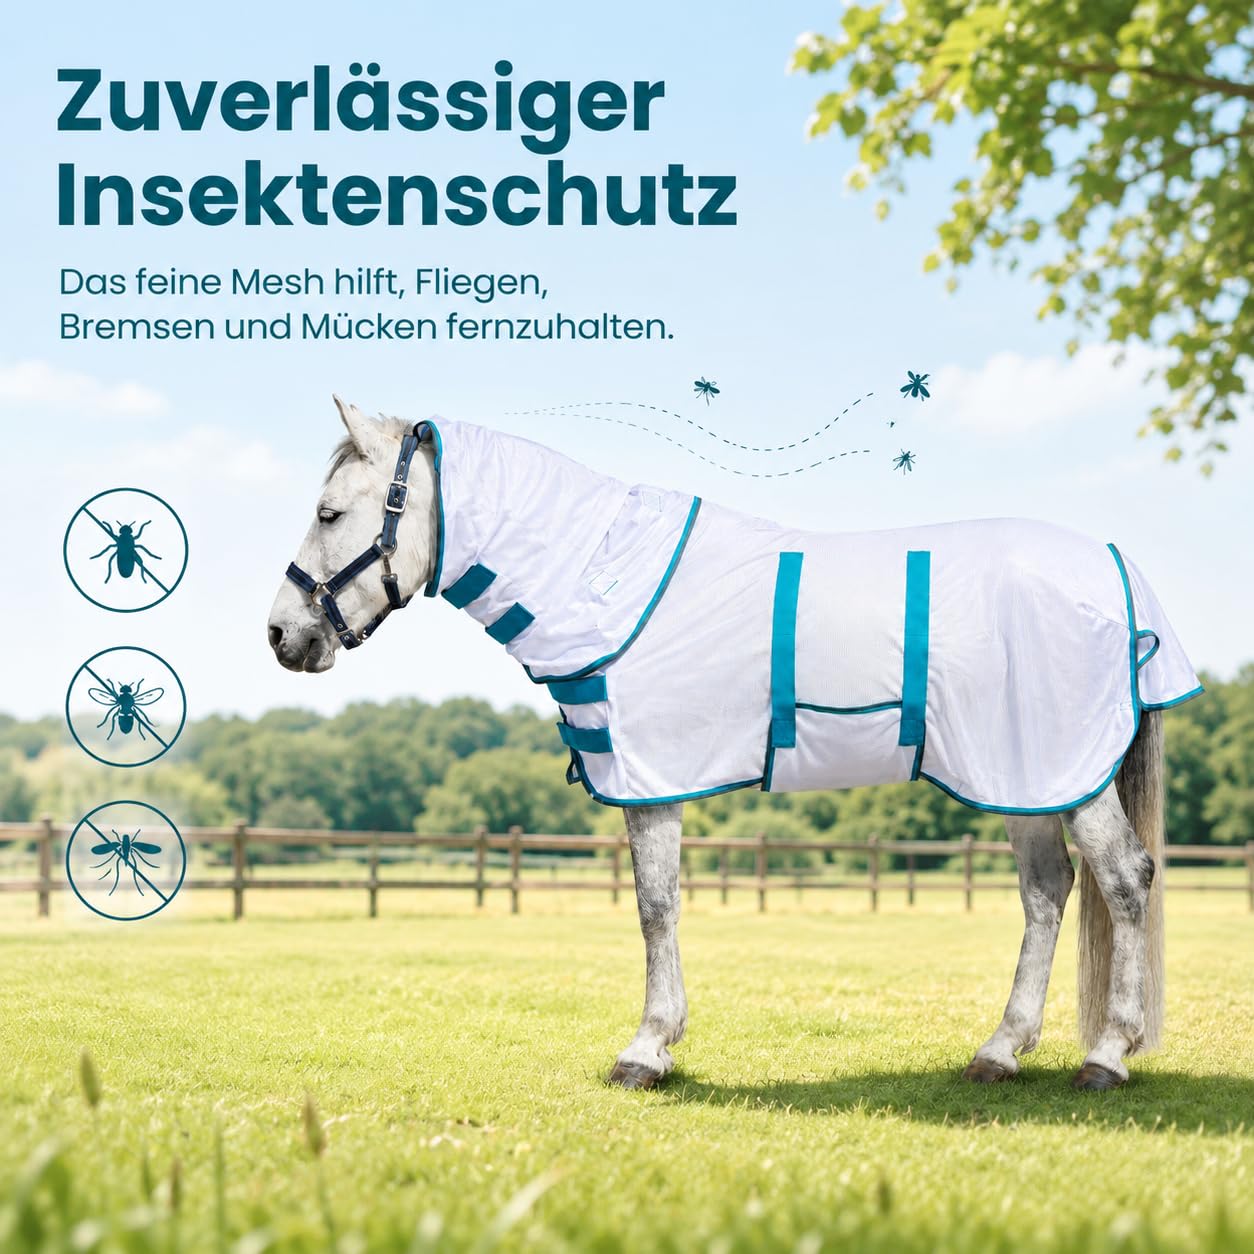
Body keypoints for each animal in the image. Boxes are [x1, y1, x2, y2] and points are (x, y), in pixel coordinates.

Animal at [267, 398, 1203, 1092]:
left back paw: (1107, 1056)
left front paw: (648, 1048)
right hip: (1024, 777)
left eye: (328, 512)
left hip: (1063, 772)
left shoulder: (650, 781)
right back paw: (1000, 1051)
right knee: (1049, 892)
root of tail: (1113, 565)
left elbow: (655, 908)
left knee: (1125, 881)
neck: (602, 578)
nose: (281, 635)